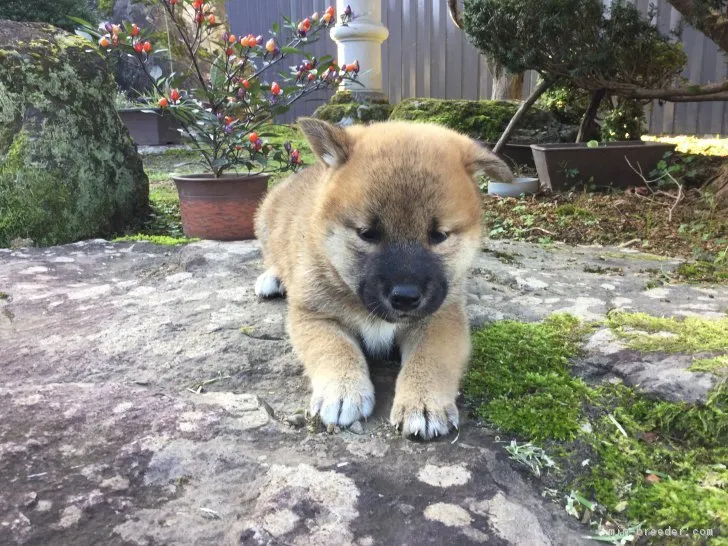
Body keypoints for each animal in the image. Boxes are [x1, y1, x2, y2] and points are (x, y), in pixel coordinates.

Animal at [255, 118, 512, 438]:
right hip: (265, 222)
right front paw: (342, 391)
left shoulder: (441, 318)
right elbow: (335, 348)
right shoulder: (314, 316)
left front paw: (423, 402)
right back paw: (272, 278)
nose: (405, 297)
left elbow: (430, 358)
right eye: (367, 234)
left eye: (439, 236)